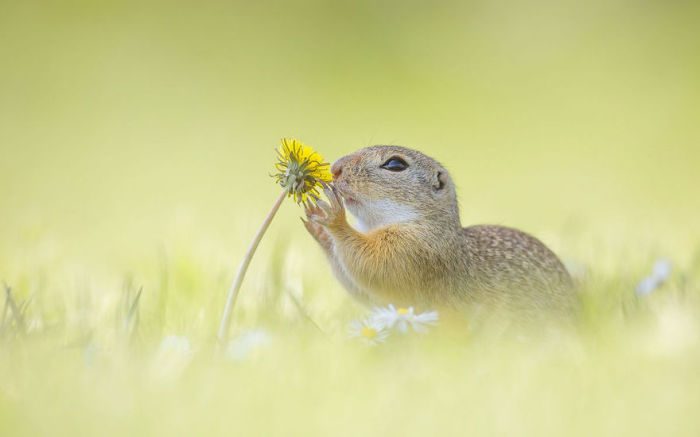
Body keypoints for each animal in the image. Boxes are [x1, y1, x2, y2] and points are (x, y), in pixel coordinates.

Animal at [304, 146, 576, 314]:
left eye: (395, 164)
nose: (335, 168)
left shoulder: (412, 251)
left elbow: (373, 265)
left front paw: (334, 218)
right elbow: (363, 290)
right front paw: (320, 230)